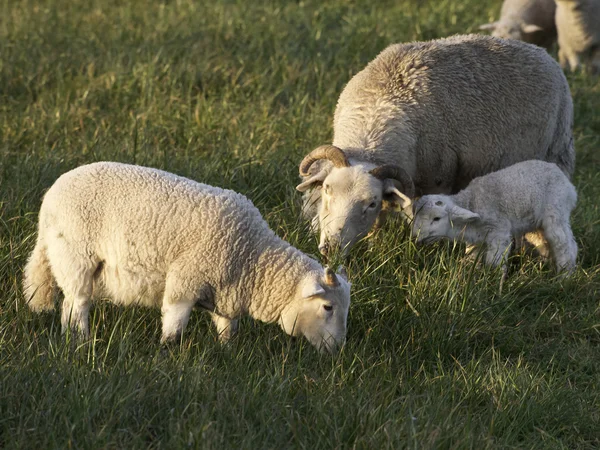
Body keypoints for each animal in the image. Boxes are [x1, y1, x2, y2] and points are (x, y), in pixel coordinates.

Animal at [23, 163, 352, 354]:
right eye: (327, 307)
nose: (337, 350)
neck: (253, 258)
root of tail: (50, 198)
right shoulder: (186, 279)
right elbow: (174, 324)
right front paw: (167, 354)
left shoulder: (225, 292)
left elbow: (226, 329)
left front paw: (227, 353)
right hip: (75, 256)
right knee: (76, 305)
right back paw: (83, 342)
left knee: (69, 305)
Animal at [298, 34, 576, 256]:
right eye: (327, 190)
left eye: (371, 203)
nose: (331, 248)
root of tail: (542, 53)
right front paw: (373, 245)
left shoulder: (437, 179)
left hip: (546, 152)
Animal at [412, 160, 576, 276]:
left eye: (436, 218)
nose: (416, 237)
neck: (472, 202)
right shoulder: (476, 240)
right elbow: (471, 259)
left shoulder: (499, 232)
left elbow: (494, 263)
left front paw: (495, 284)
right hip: (536, 224)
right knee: (545, 243)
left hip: (557, 211)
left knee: (565, 245)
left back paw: (564, 276)